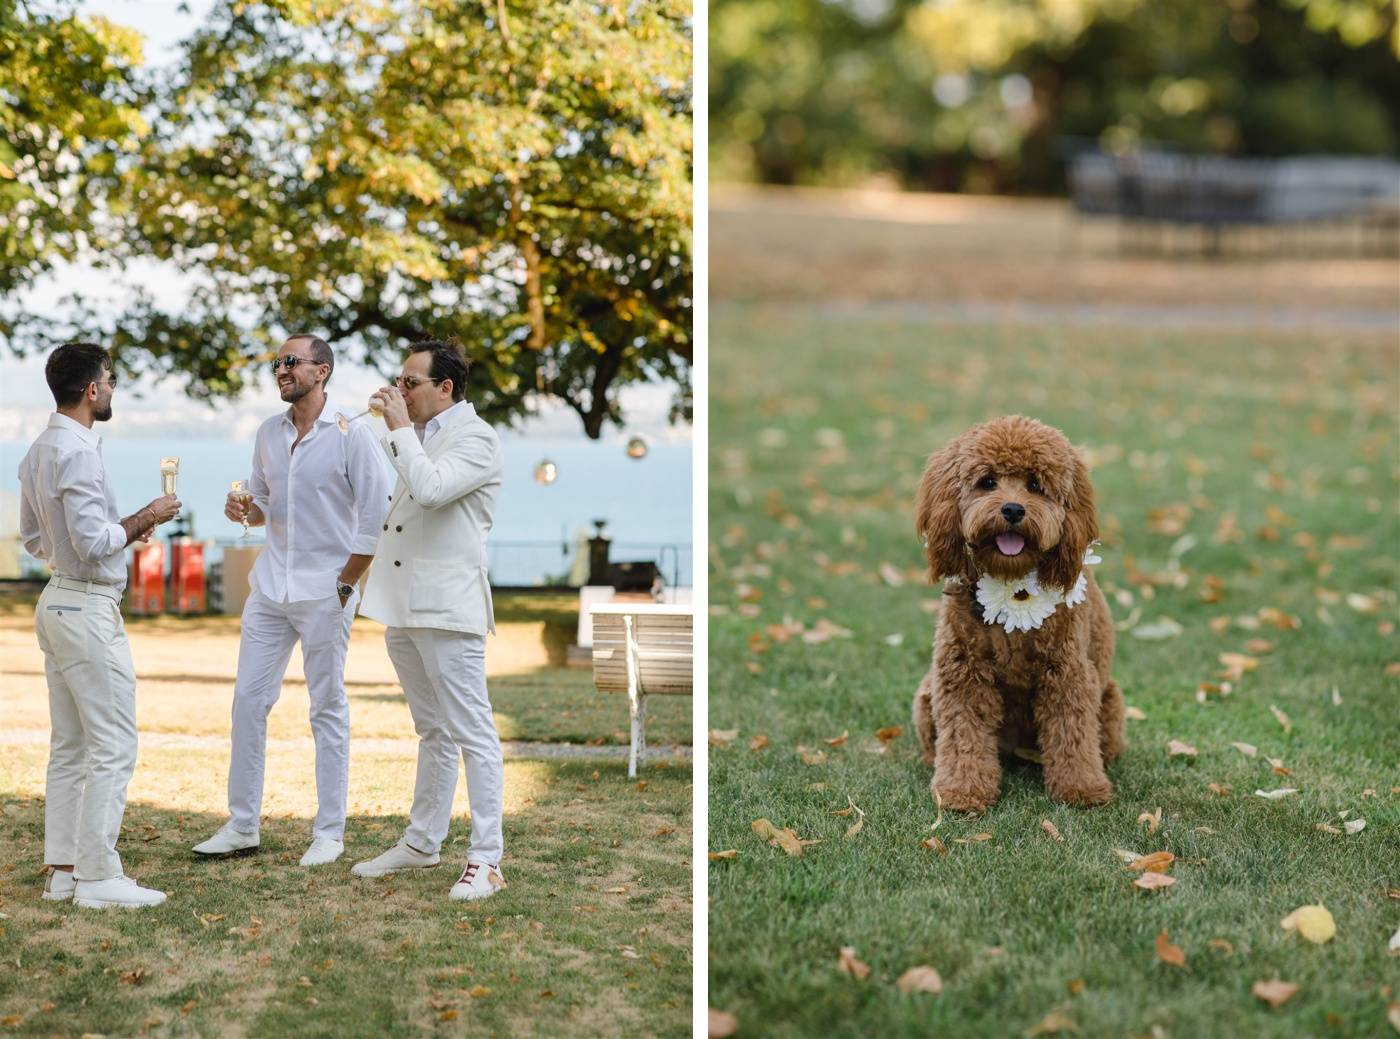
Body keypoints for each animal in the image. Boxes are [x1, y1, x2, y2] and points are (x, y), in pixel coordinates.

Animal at [907, 414, 1125, 812]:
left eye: (1036, 485)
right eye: (987, 481)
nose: (1012, 509)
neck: (1013, 581)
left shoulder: (1067, 675)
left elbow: (1072, 736)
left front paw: (1081, 789)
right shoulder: (962, 674)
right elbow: (963, 738)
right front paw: (962, 791)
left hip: (1111, 703)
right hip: (928, 693)